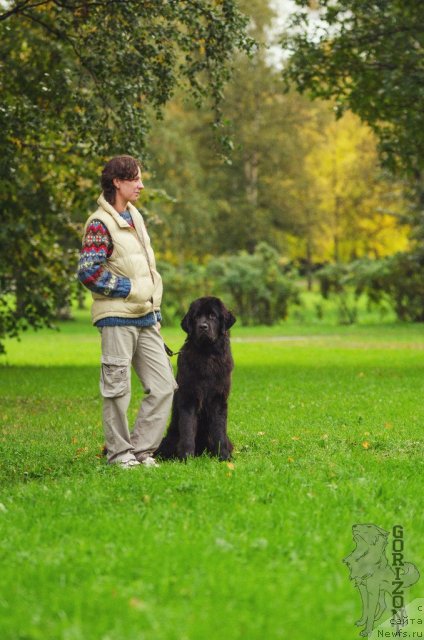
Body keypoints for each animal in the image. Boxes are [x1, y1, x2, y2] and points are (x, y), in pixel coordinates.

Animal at [156, 296, 235, 460]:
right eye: (196, 317)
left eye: (212, 316)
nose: (203, 326)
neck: (207, 355)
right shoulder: (189, 398)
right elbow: (187, 430)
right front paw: (186, 457)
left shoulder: (218, 399)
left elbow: (219, 431)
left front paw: (224, 457)